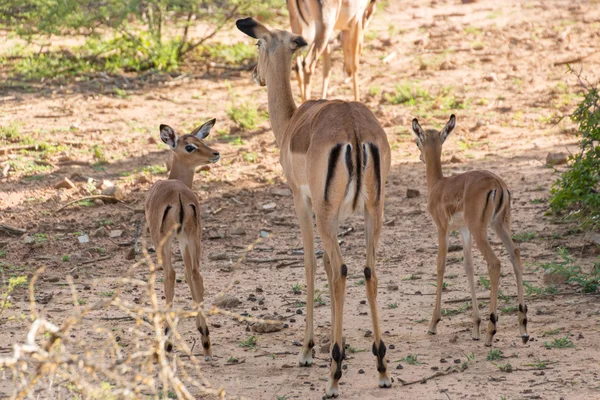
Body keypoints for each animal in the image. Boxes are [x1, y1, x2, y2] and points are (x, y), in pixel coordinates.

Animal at [145, 119, 220, 360]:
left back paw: (167, 344)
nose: (215, 153)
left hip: (166, 242)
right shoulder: (186, 240)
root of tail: (178, 195)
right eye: (191, 145)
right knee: (195, 274)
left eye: (199, 141)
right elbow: (191, 275)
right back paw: (206, 343)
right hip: (193, 238)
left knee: (170, 274)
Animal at [237, 18, 396, 396]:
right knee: (368, 270)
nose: (254, 74)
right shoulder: (337, 215)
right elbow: (324, 264)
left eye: (258, 45)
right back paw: (382, 367)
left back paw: (333, 376)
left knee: (341, 270)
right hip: (373, 212)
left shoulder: (301, 199)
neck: (293, 122)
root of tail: (354, 130)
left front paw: (308, 351)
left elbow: (311, 264)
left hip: (325, 214)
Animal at [412, 114, 528, 346]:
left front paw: (433, 324)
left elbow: (441, 266)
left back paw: (491, 332)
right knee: (515, 254)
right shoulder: (463, 231)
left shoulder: (443, 229)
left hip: (480, 229)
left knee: (495, 263)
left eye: (418, 141)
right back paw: (523, 328)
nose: (420, 156)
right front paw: (475, 326)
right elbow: (468, 267)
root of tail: (498, 184)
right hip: (499, 225)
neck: (438, 186)